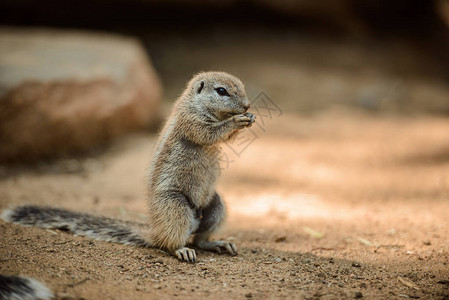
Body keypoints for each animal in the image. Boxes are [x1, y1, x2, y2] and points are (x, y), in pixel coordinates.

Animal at [1, 71, 256, 266]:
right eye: (221, 91)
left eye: (243, 87)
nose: (247, 105)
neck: (195, 103)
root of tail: (155, 231)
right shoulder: (191, 120)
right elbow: (209, 133)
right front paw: (237, 120)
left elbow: (224, 138)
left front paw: (248, 118)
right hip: (175, 206)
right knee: (173, 243)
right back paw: (181, 250)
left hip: (216, 205)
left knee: (199, 238)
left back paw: (217, 243)